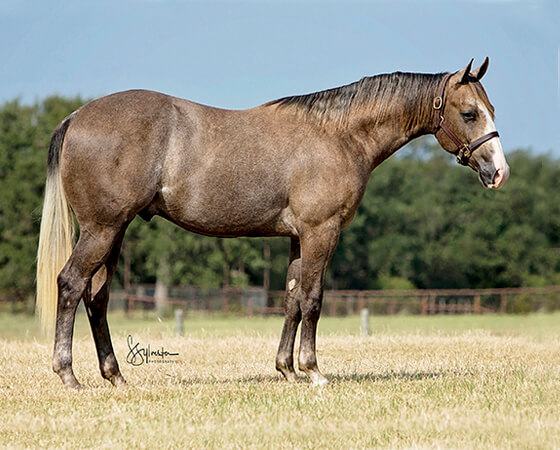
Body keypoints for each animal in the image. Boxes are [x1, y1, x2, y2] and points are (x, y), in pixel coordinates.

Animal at [35, 57, 508, 386]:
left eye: (492, 108)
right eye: (469, 113)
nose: (498, 172)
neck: (339, 135)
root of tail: (76, 117)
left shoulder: (299, 237)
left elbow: (292, 300)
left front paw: (287, 369)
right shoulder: (322, 232)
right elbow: (313, 300)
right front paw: (314, 371)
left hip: (114, 232)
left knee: (97, 297)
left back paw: (115, 376)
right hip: (102, 229)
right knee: (71, 284)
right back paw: (68, 375)